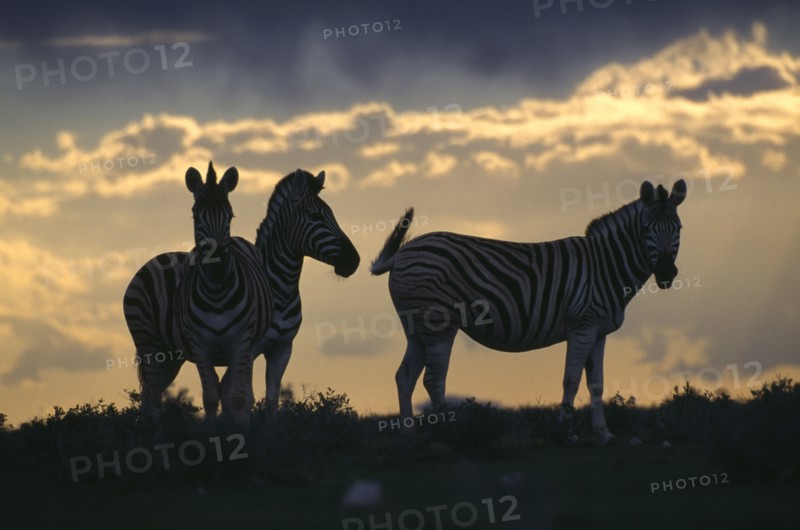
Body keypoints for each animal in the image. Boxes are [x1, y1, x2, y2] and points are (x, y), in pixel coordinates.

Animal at [123, 168, 359, 418]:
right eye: (315, 216)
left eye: (331, 214)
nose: (354, 260)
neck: (280, 289)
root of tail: (155, 259)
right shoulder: (250, 348)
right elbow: (245, 397)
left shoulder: (282, 347)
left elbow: (268, 398)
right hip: (149, 344)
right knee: (149, 394)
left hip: (171, 356)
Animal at [371, 180, 687, 442]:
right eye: (646, 229)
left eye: (679, 228)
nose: (666, 273)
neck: (605, 266)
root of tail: (402, 253)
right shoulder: (582, 325)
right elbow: (571, 380)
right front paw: (566, 432)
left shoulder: (599, 332)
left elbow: (597, 384)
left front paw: (604, 434)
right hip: (439, 322)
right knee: (434, 379)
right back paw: (454, 433)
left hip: (415, 327)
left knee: (405, 376)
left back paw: (409, 436)